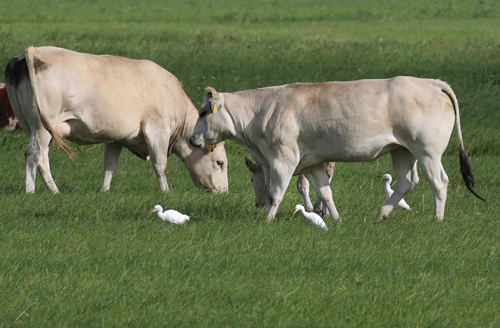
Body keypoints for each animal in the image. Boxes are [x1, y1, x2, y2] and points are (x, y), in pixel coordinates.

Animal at [5, 46, 229, 195]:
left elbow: (110, 165)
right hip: (42, 127)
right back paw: (34, 191)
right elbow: (160, 164)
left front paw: (104, 191)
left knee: (39, 156)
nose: (224, 191)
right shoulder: (157, 129)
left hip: (31, 126)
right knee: (34, 153)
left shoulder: (116, 138)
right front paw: (166, 192)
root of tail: (34, 51)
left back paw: (50, 190)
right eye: (220, 162)